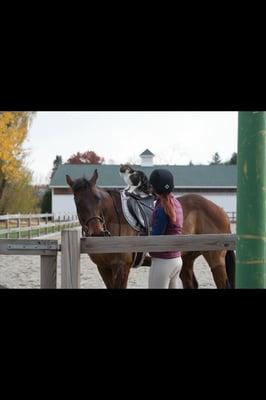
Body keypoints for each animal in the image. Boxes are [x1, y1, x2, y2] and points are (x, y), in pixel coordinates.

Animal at [66, 170, 235, 290]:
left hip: (216, 260)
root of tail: (220, 210)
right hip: (186, 260)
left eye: (98, 199)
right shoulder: (103, 268)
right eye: (77, 201)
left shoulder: (122, 266)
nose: (97, 232)